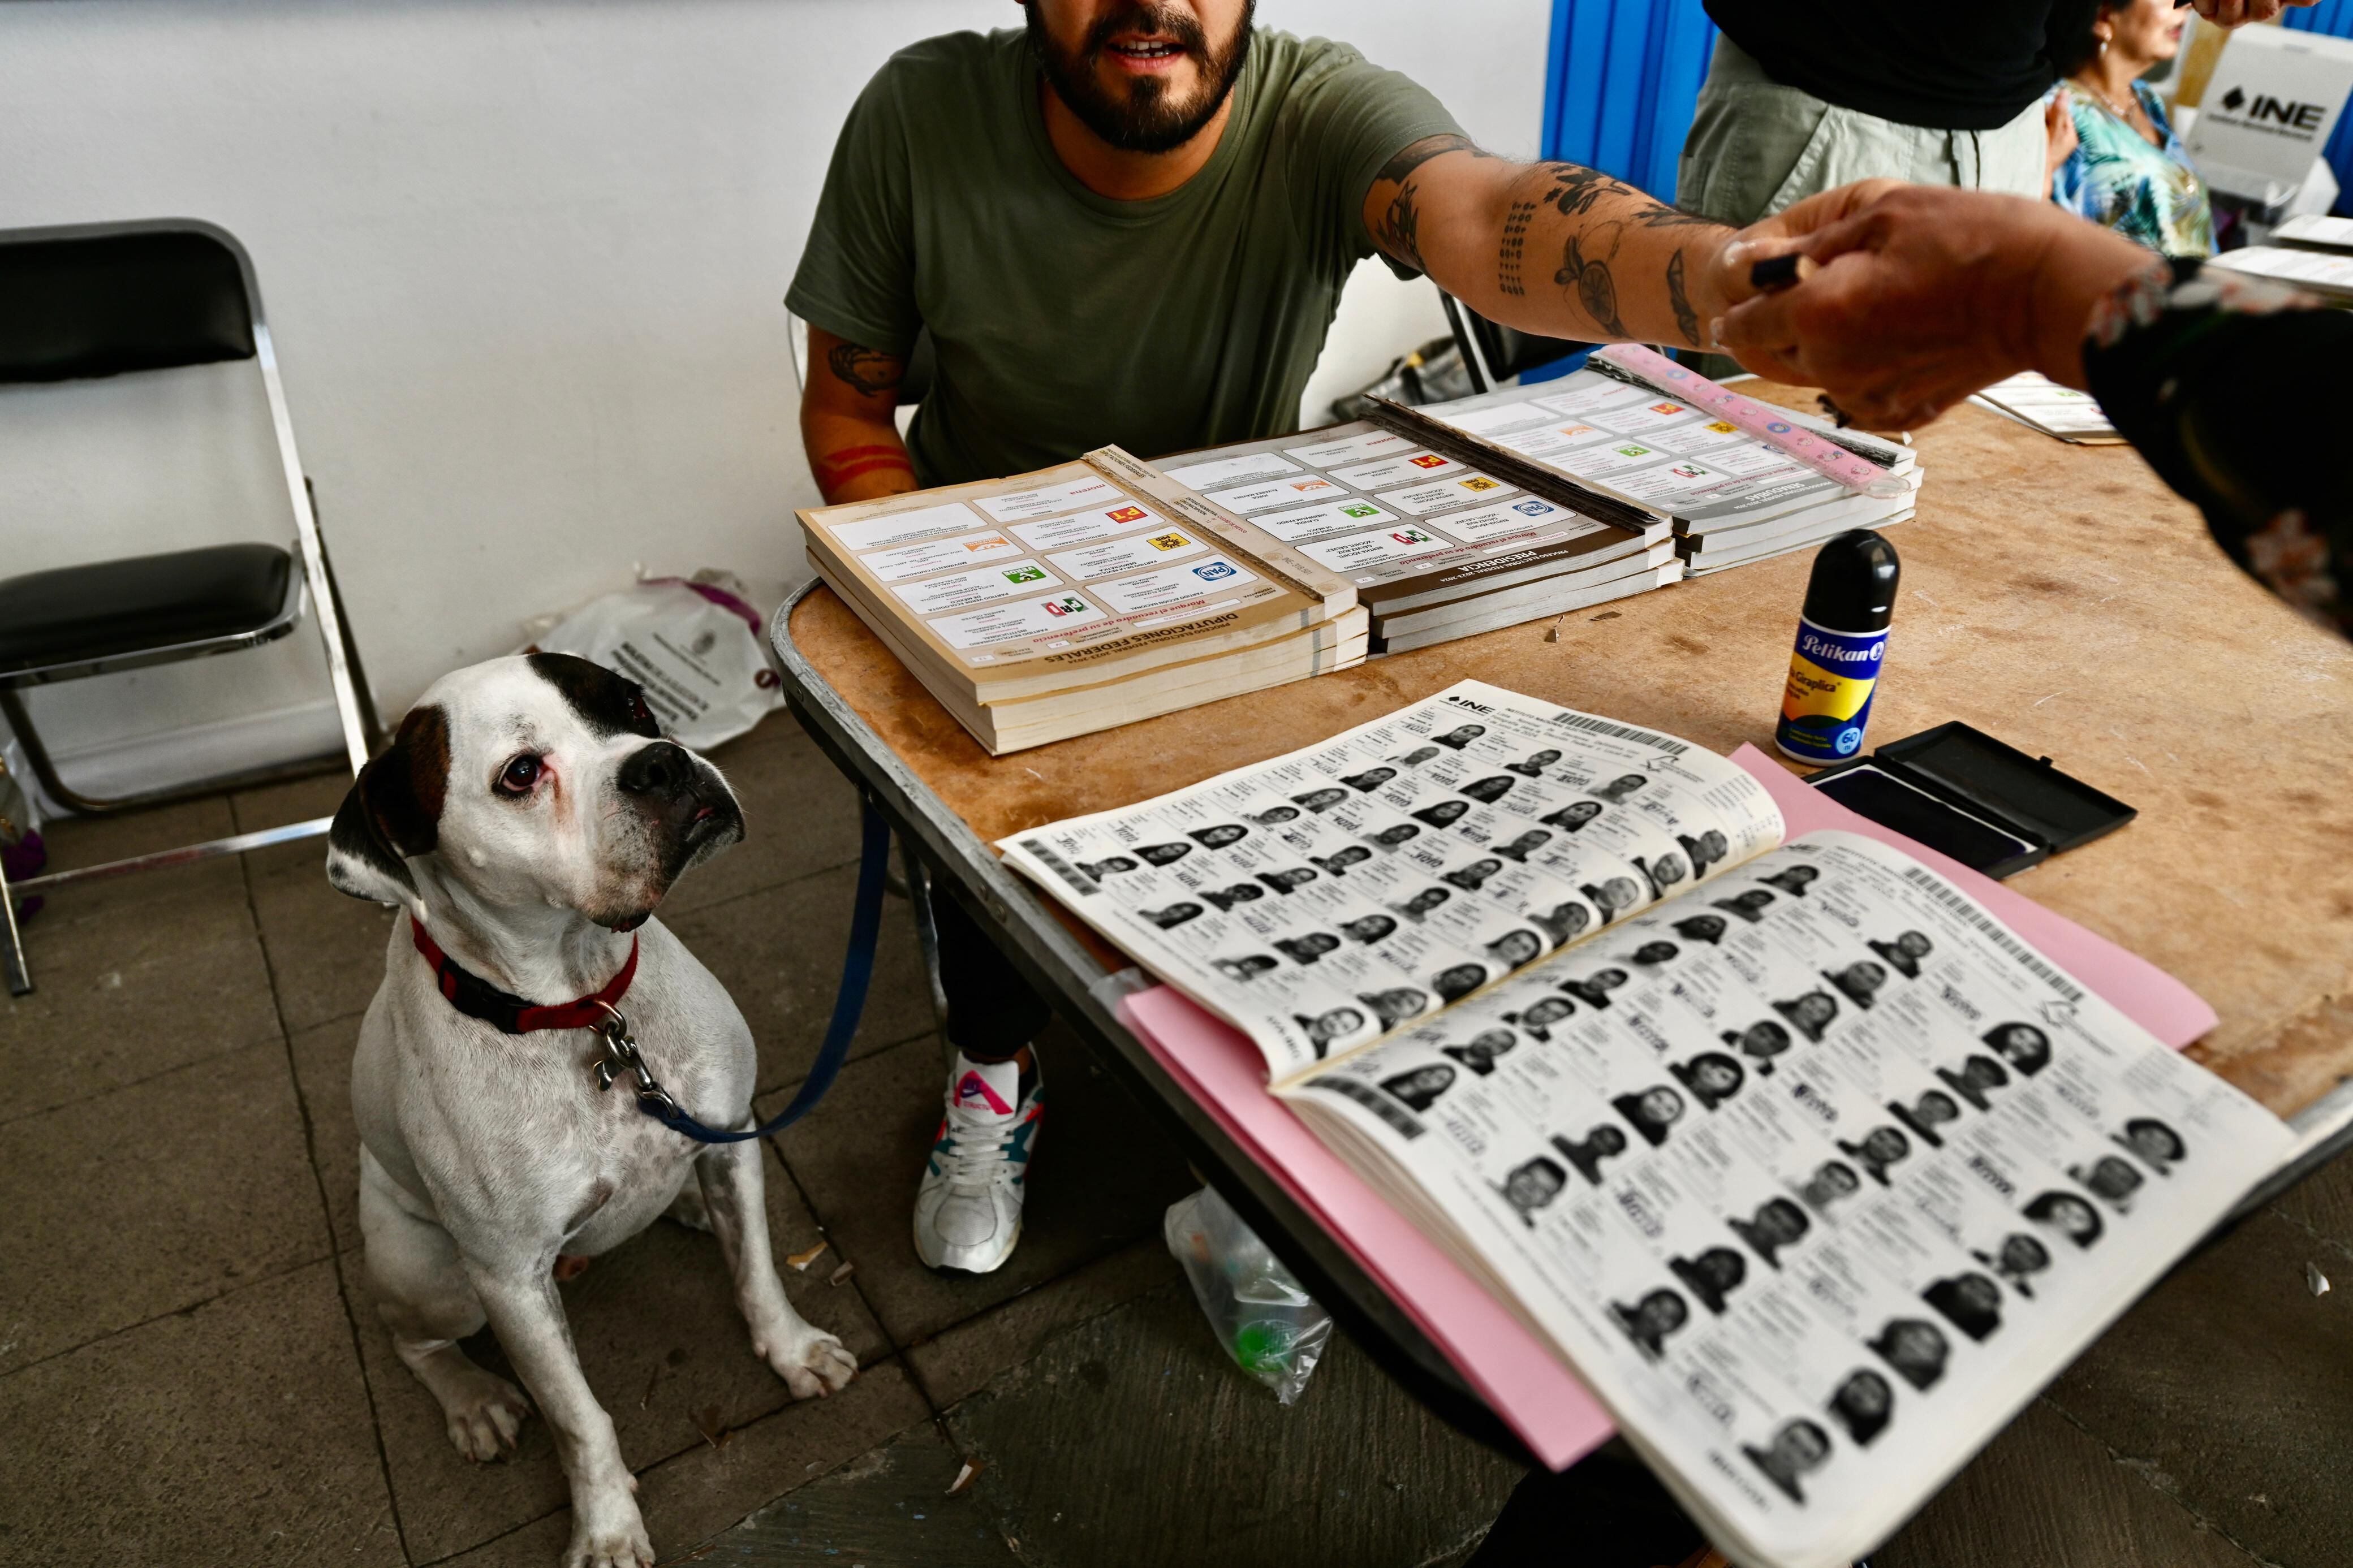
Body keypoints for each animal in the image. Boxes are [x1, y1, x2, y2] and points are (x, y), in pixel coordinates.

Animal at [327, 653, 851, 1568]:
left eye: (634, 705)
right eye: (520, 774)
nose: (663, 762)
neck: (584, 1006)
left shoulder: (730, 1143)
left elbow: (757, 1273)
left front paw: (792, 1351)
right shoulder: (511, 1282)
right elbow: (579, 1419)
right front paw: (605, 1526)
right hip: (431, 1277)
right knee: (412, 1342)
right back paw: (473, 1401)